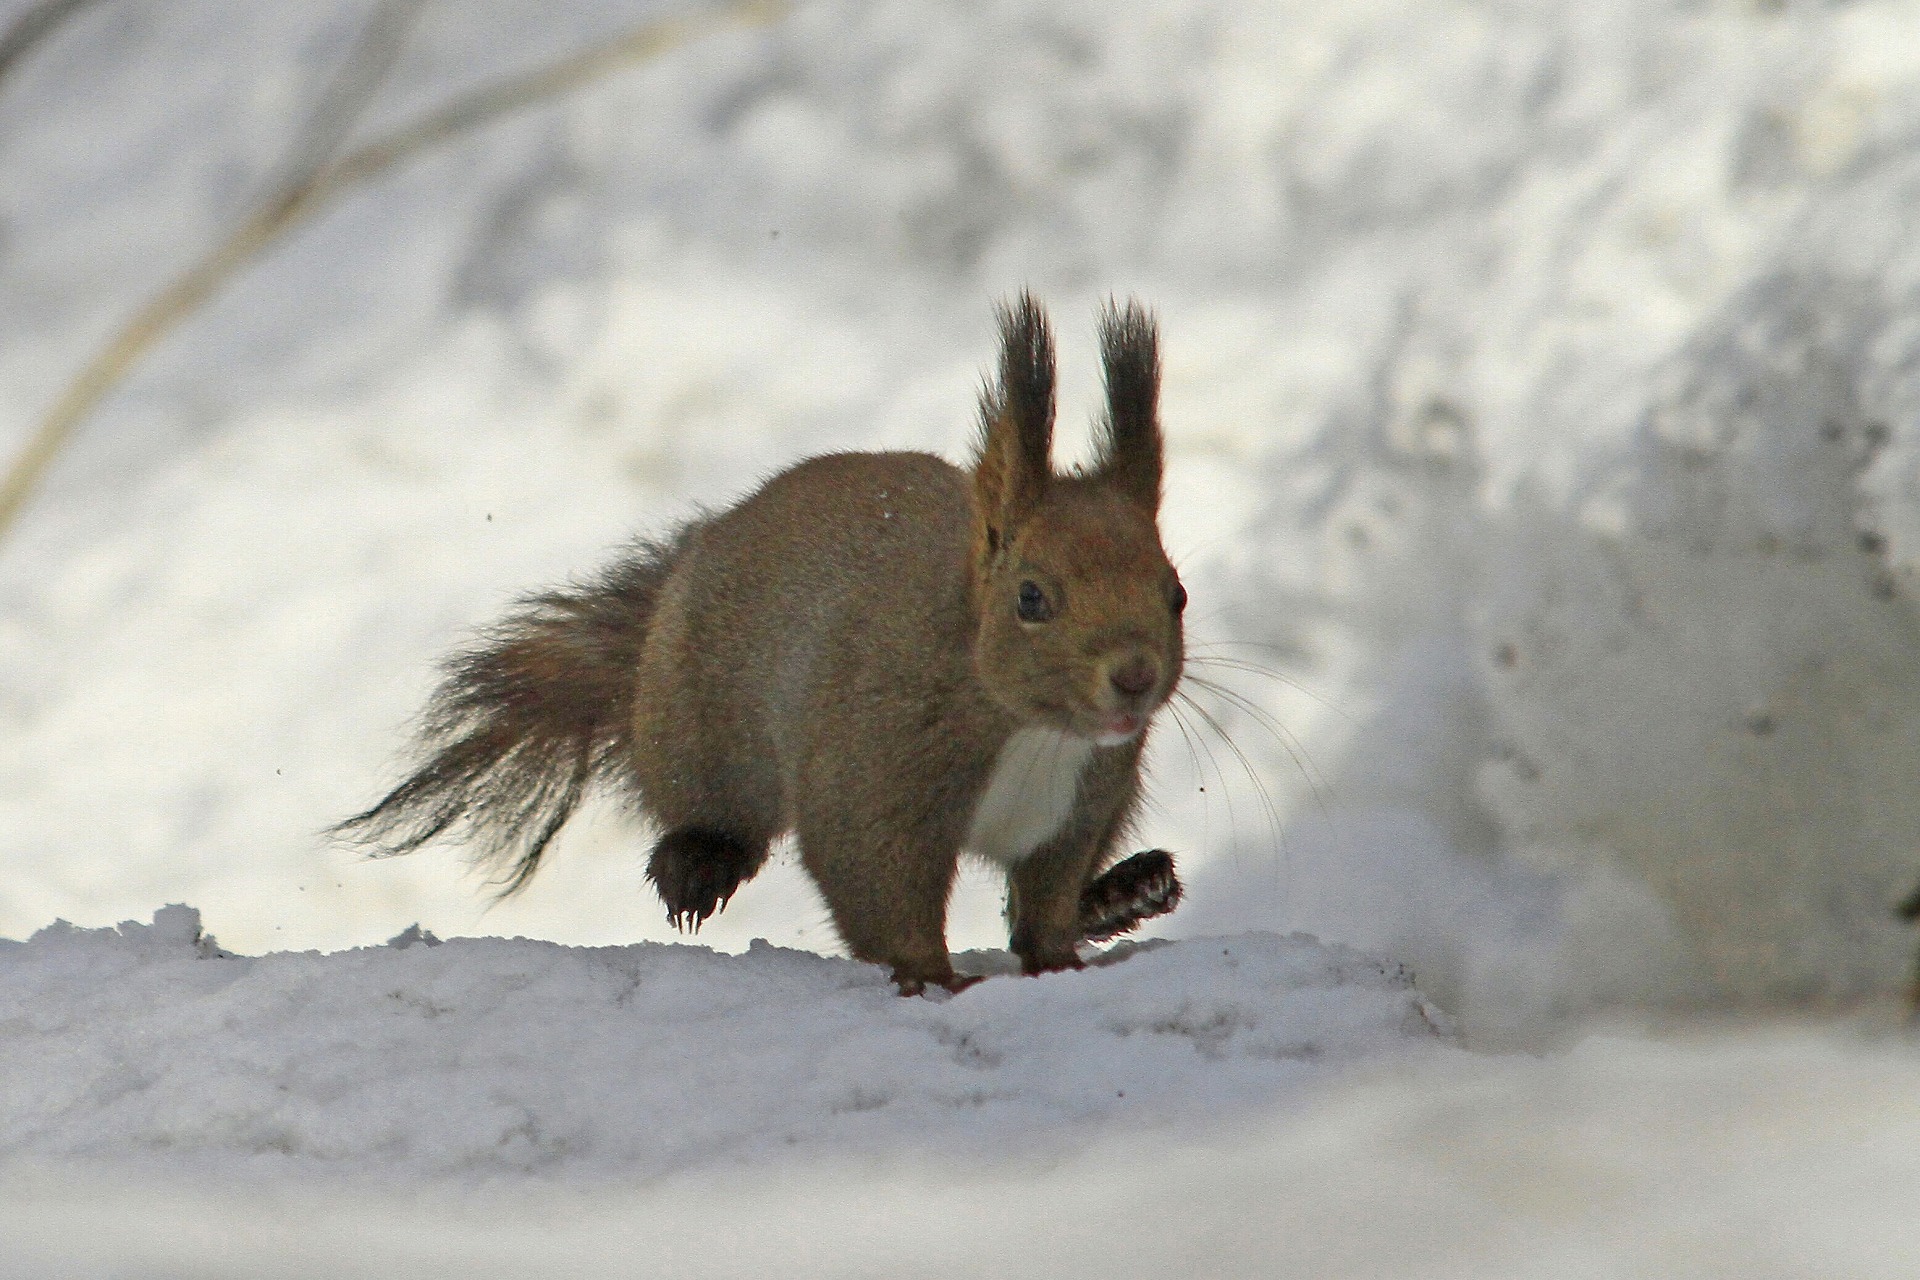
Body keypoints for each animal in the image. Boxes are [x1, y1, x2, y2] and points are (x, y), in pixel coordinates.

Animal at [337, 295, 1190, 997]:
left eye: (1176, 593)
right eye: (1031, 598)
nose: (1134, 675)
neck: (1029, 729)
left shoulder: (1080, 805)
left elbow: (1044, 903)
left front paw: (1060, 957)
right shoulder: (873, 776)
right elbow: (880, 890)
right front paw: (937, 978)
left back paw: (1127, 889)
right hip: (698, 726)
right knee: (711, 809)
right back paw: (698, 863)